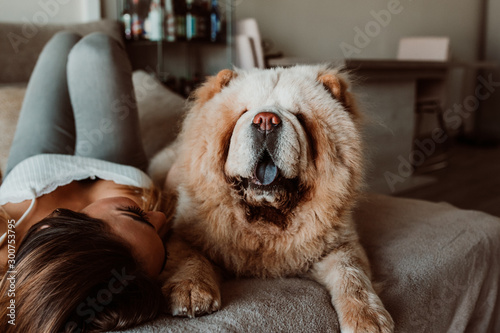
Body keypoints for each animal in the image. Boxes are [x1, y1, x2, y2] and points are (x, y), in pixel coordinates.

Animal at [152, 63, 394, 330]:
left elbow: (352, 275)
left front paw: (369, 319)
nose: (266, 120)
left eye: (299, 116)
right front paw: (190, 291)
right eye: (244, 112)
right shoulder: (184, 234)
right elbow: (189, 256)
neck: (267, 218)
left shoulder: (341, 244)